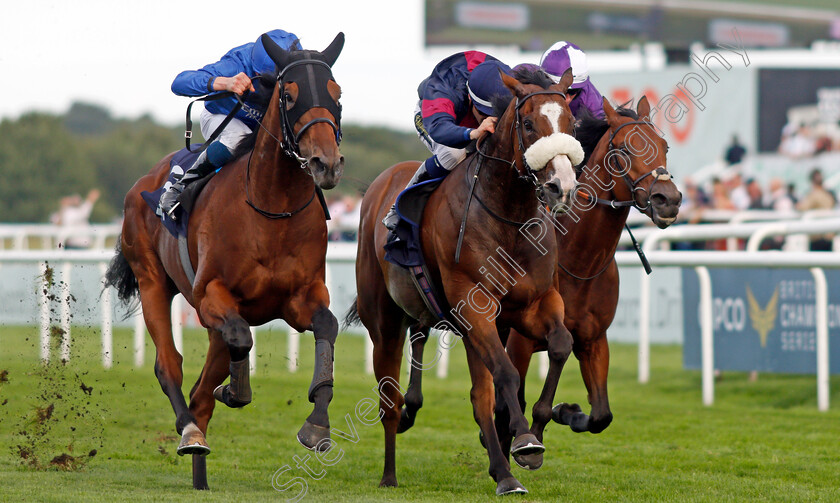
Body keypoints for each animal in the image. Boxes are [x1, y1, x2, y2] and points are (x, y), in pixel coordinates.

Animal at [103, 33, 346, 490]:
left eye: (337, 94)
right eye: (289, 95)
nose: (326, 163)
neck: (272, 209)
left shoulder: (301, 298)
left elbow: (326, 326)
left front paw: (317, 424)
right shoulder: (210, 297)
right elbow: (239, 341)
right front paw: (235, 392)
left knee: (202, 391)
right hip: (152, 281)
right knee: (171, 367)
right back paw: (190, 433)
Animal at [348, 68, 584, 496]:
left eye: (571, 123)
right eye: (528, 124)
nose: (562, 186)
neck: (509, 217)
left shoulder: (533, 304)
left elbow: (560, 344)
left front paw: (537, 427)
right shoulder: (476, 305)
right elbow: (506, 373)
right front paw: (525, 441)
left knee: (477, 394)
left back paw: (503, 474)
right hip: (384, 321)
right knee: (389, 399)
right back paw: (390, 473)